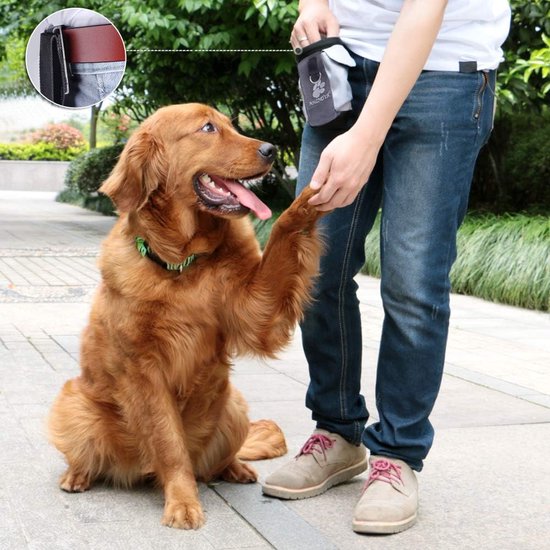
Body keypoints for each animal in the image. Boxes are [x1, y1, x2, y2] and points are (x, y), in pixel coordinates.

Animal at [49, 103, 326, 532]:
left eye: (231, 124)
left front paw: (305, 202)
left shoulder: (257, 309)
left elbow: (280, 233)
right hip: (72, 403)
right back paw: (77, 474)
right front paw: (182, 501)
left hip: (233, 406)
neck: (182, 264)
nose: (270, 150)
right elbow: (169, 444)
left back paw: (235, 467)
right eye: (208, 128)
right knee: (97, 456)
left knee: (217, 460)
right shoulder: (144, 371)